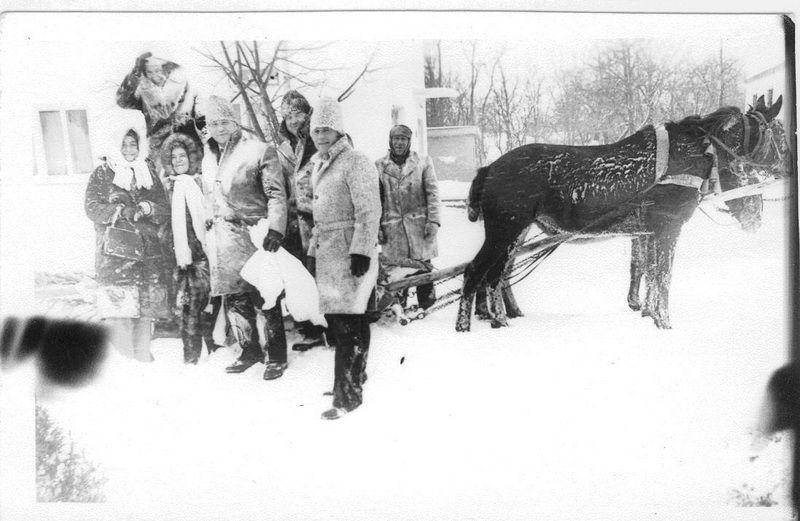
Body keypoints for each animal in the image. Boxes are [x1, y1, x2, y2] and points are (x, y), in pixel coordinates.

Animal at [457, 96, 783, 332]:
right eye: (777, 133)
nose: (783, 164)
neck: (691, 154)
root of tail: (489, 168)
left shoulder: (648, 231)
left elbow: (649, 272)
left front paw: (650, 314)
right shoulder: (668, 227)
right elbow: (663, 277)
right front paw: (664, 323)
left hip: (514, 233)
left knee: (494, 276)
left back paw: (498, 317)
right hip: (505, 230)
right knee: (479, 273)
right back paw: (470, 325)